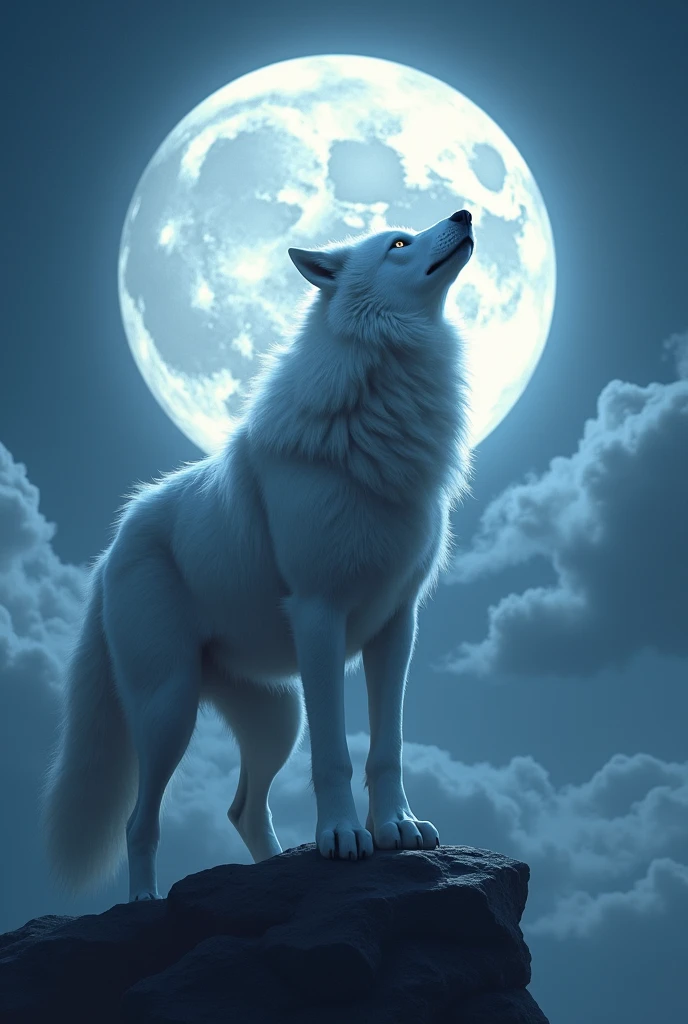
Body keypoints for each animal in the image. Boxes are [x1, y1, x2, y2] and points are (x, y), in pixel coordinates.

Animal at [39, 210, 474, 902]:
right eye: (398, 243)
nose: (463, 213)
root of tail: (109, 550)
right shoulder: (321, 614)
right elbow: (335, 755)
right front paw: (343, 838)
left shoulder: (396, 625)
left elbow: (387, 747)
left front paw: (396, 830)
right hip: (169, 709)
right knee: (141, 821)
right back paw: (145, 903)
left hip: (276, 717)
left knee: (243, 809)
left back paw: (274, 871)